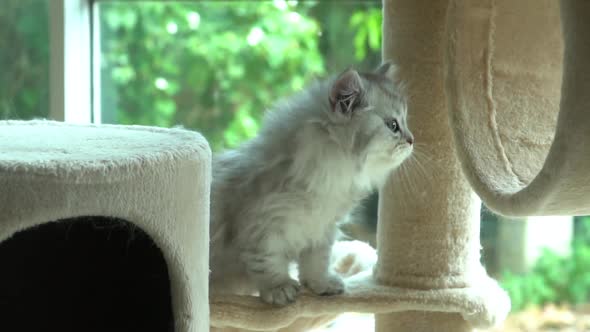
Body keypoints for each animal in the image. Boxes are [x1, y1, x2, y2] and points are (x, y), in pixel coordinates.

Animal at [210, 62, 414, 306]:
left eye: (405, 122)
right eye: (393, 125)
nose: (412, 140)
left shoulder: (322, 228)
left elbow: (316, 262)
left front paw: (321, 284)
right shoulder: (261, 225)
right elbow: (268, 260)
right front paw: (279, 287)